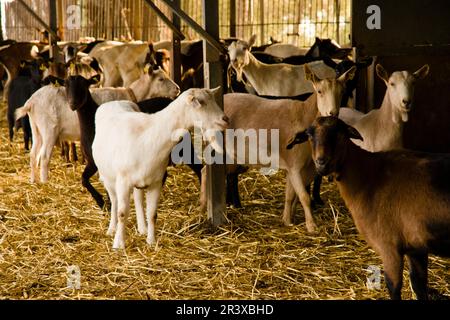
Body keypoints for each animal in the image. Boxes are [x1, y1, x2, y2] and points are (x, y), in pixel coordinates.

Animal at [92, 88, 229, 250]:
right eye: (201, 102)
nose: (225, 119)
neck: (151, 136)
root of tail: (114, 102)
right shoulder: (123, 181)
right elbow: (122, 213)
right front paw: (119, 244)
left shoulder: (156, 182)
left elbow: (152, 214)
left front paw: (151, 241)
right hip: (108, 177)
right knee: (114, 201)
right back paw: (112, 229)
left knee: (138, 198)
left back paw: (142, 228)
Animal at [288, 115, 450, 300]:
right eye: (309, 135)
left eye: (340, 134)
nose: (322, 162)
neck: (369, 176)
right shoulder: (416, 248)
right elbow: (419, 286)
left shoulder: (389, 247)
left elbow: (393, 288)